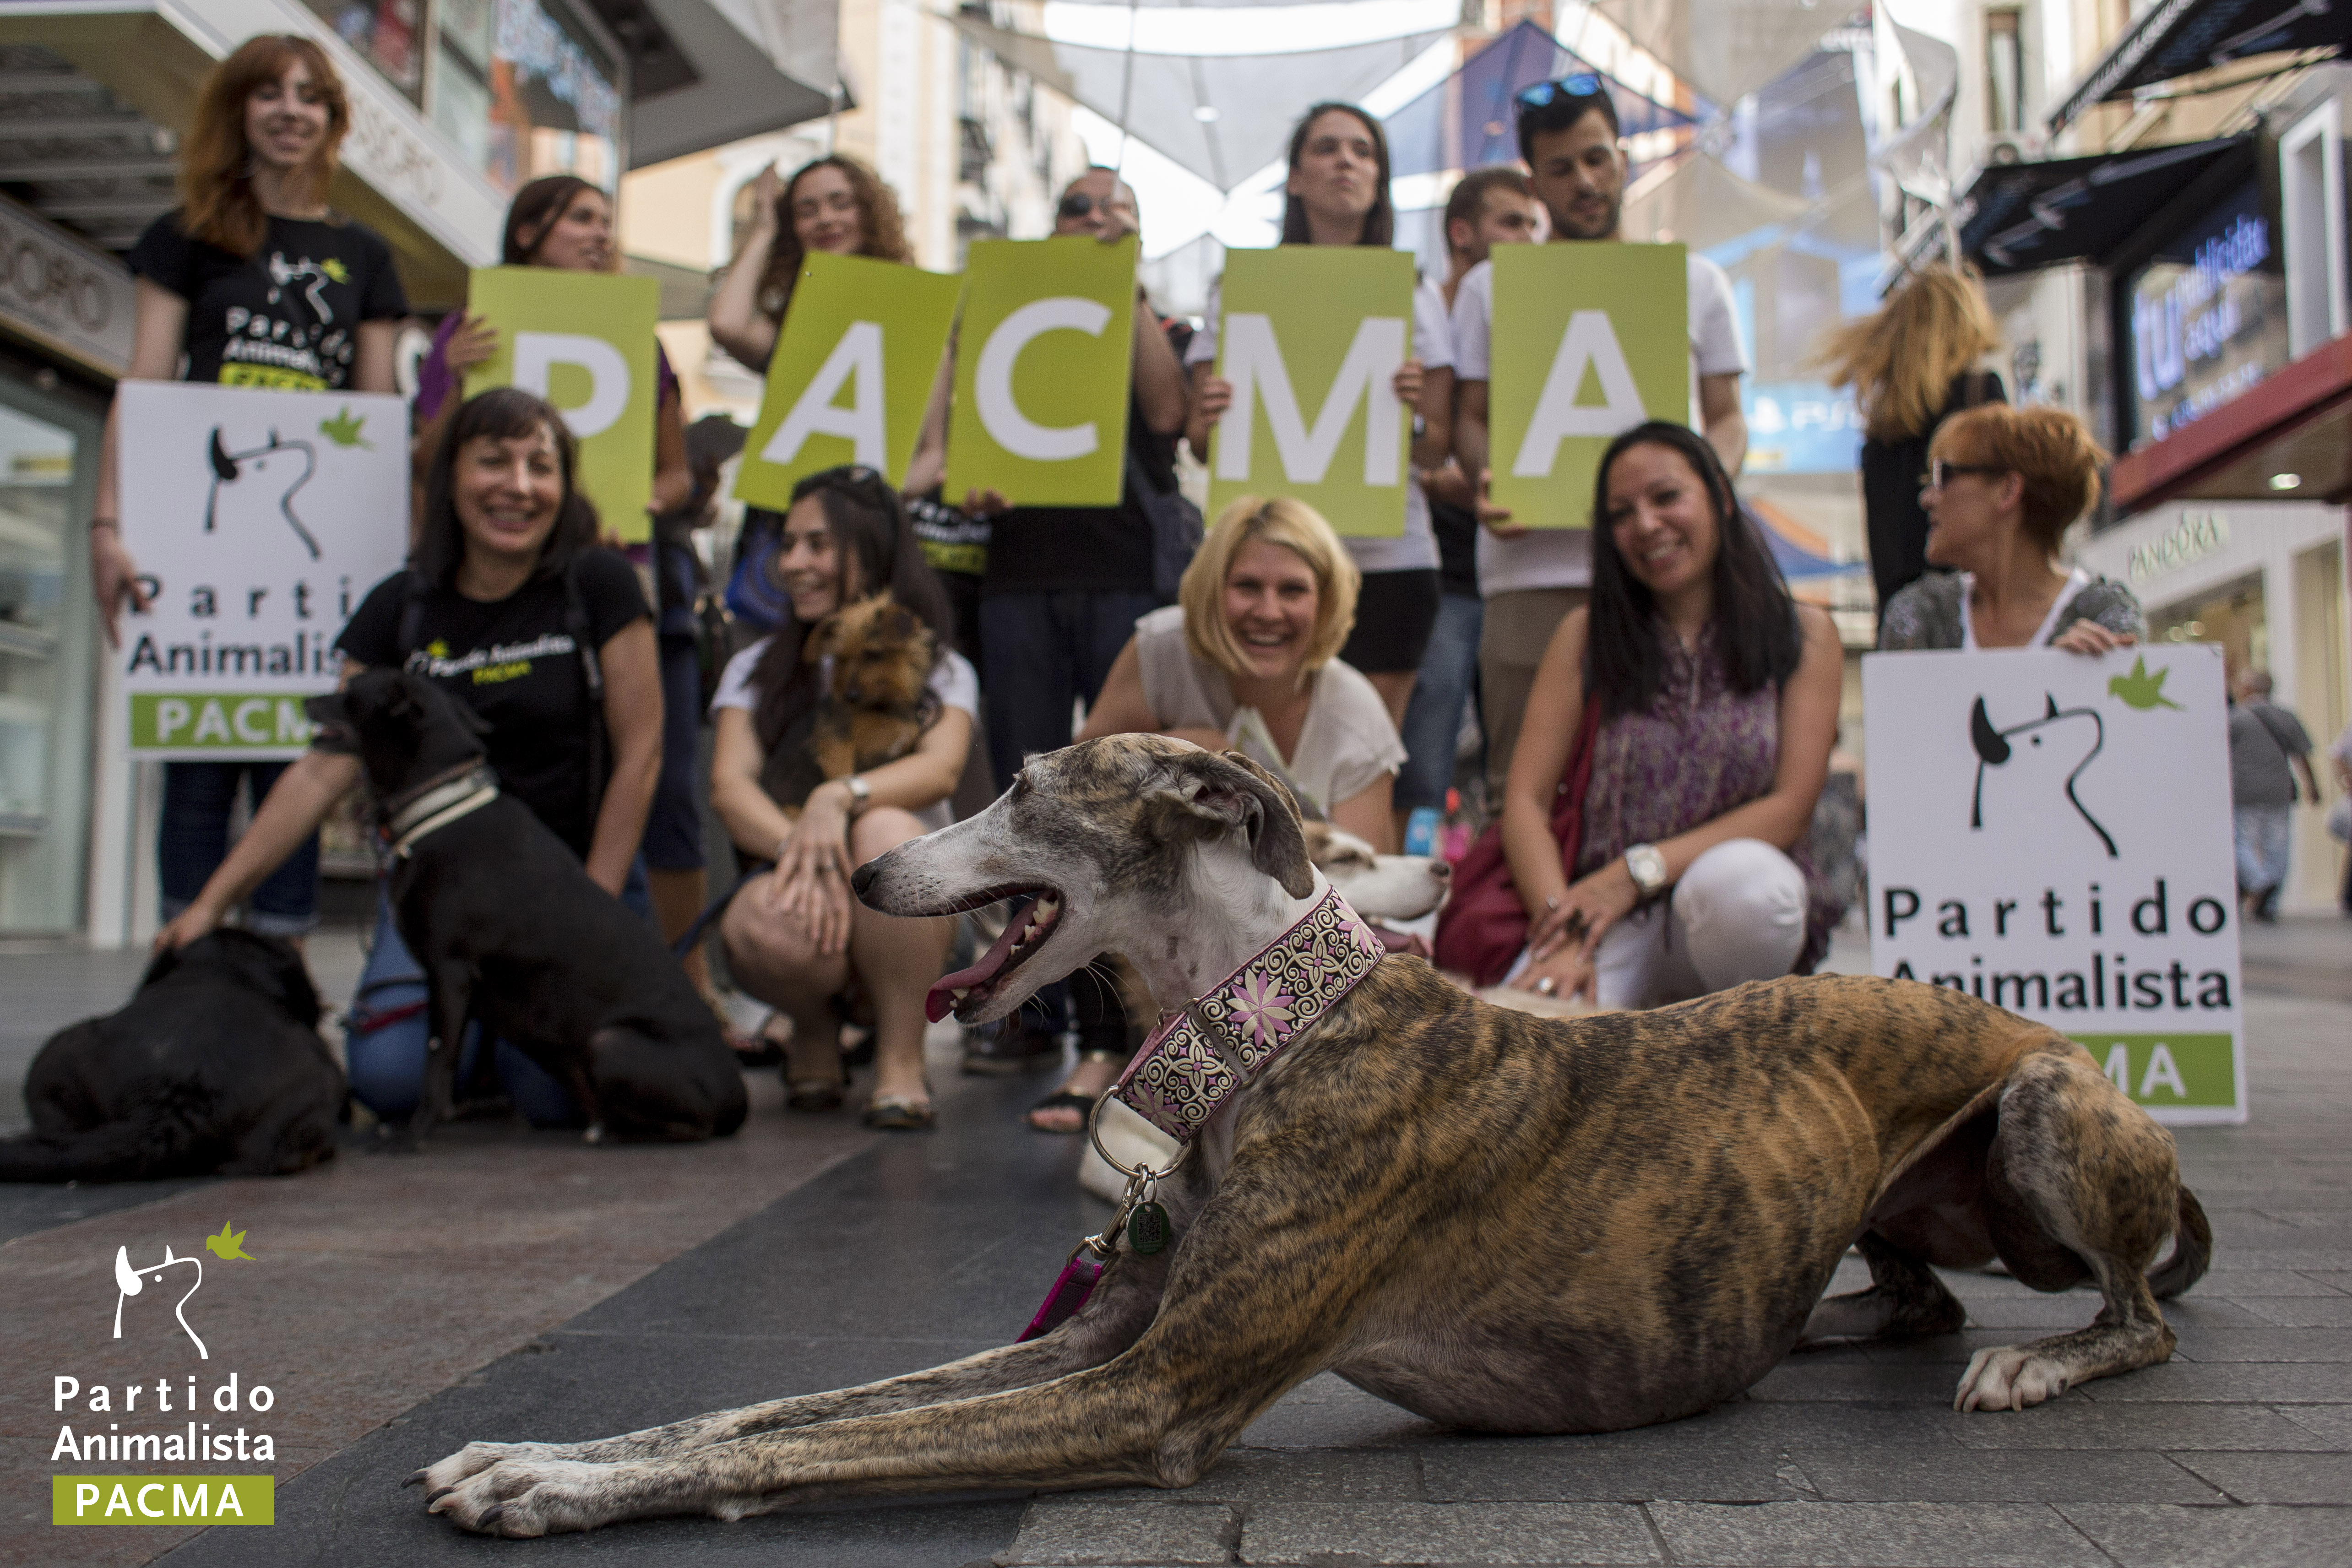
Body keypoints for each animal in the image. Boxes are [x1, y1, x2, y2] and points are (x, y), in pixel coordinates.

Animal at [305, 667, 743, 1147]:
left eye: (350, 692)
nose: (306, 702)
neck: (439, 806)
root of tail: (738, 1100)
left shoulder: (450, 972)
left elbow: (436, 1065)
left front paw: (414, 1134)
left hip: (610, 1043)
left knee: (692, 1127)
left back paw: (618, 1129)